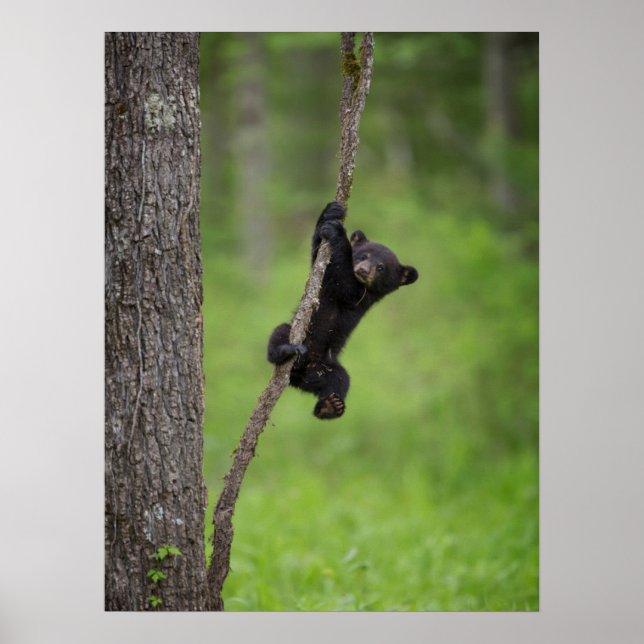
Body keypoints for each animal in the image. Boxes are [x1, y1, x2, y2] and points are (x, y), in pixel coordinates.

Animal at [267, 201, 418, 419]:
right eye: (363, 255)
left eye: (381, 268)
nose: (363, 270)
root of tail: (300, 376)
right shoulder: (323, 277)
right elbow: (317, 254)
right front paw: (331, 212)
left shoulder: (361, 297)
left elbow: (344, 283)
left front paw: (339, 233)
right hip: (297, 336)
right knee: (279, 334)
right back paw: (287, 349)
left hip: (328, 366)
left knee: (340, 380)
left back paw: (330, 406)